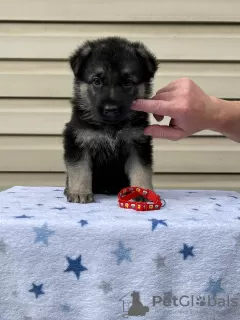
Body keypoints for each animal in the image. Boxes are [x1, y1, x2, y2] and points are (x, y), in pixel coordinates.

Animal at [62, 36, 158, 202]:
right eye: (96, 81)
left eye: (127, 82)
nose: (111, 109)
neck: (111, 126)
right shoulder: (78, 141)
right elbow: (80, 169)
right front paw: (80, 192)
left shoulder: (138, 144)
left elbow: (141, 170)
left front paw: (142, 191)